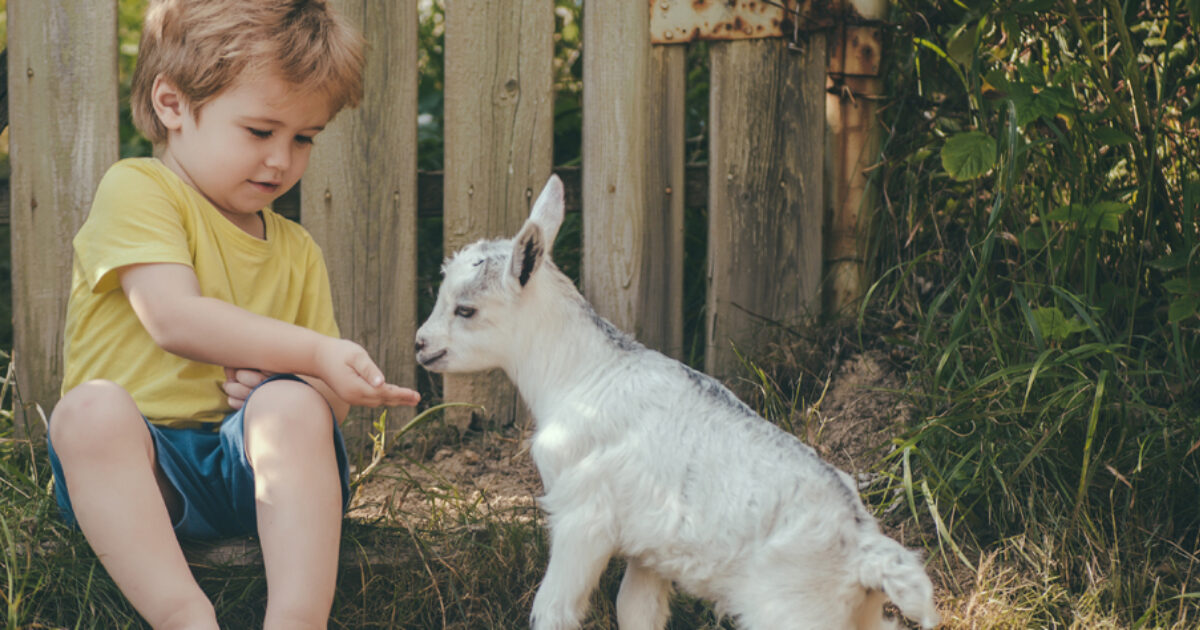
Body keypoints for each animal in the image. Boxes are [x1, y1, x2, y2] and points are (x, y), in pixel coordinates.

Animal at [414, 175, 939, 630]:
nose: (421, 344)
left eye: (466, 310)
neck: (584, 374)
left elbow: (555, 610)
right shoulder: (650, 551)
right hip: (854, 614)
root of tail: (861, 547)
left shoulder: (583, 517)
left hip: (794, 611)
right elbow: (636, 611)